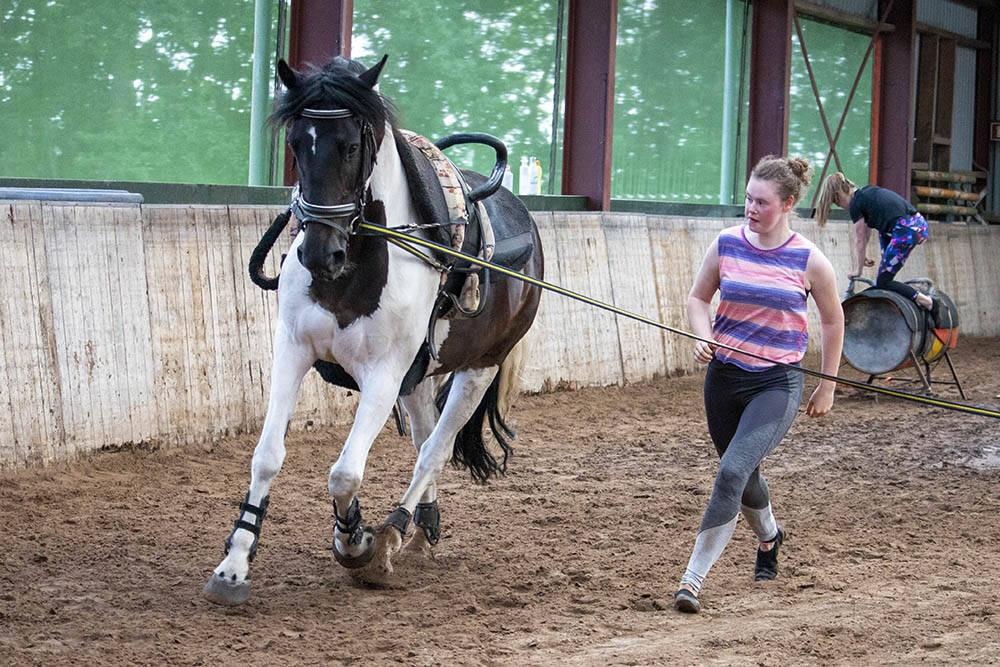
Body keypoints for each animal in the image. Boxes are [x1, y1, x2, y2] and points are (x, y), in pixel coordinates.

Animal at [203, 53, 544, 604]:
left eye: (350, 145)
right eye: (295, 143)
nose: (320, 253)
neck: (357, 266)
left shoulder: (384, 374)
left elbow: (344, 473)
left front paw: (355, 539)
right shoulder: (294, 351)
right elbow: (267, 456)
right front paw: (233, 565)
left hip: (479, 368)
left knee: (433, 451)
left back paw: (394, 532)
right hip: (421, 378)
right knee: (426, 436)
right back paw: (424, 526)